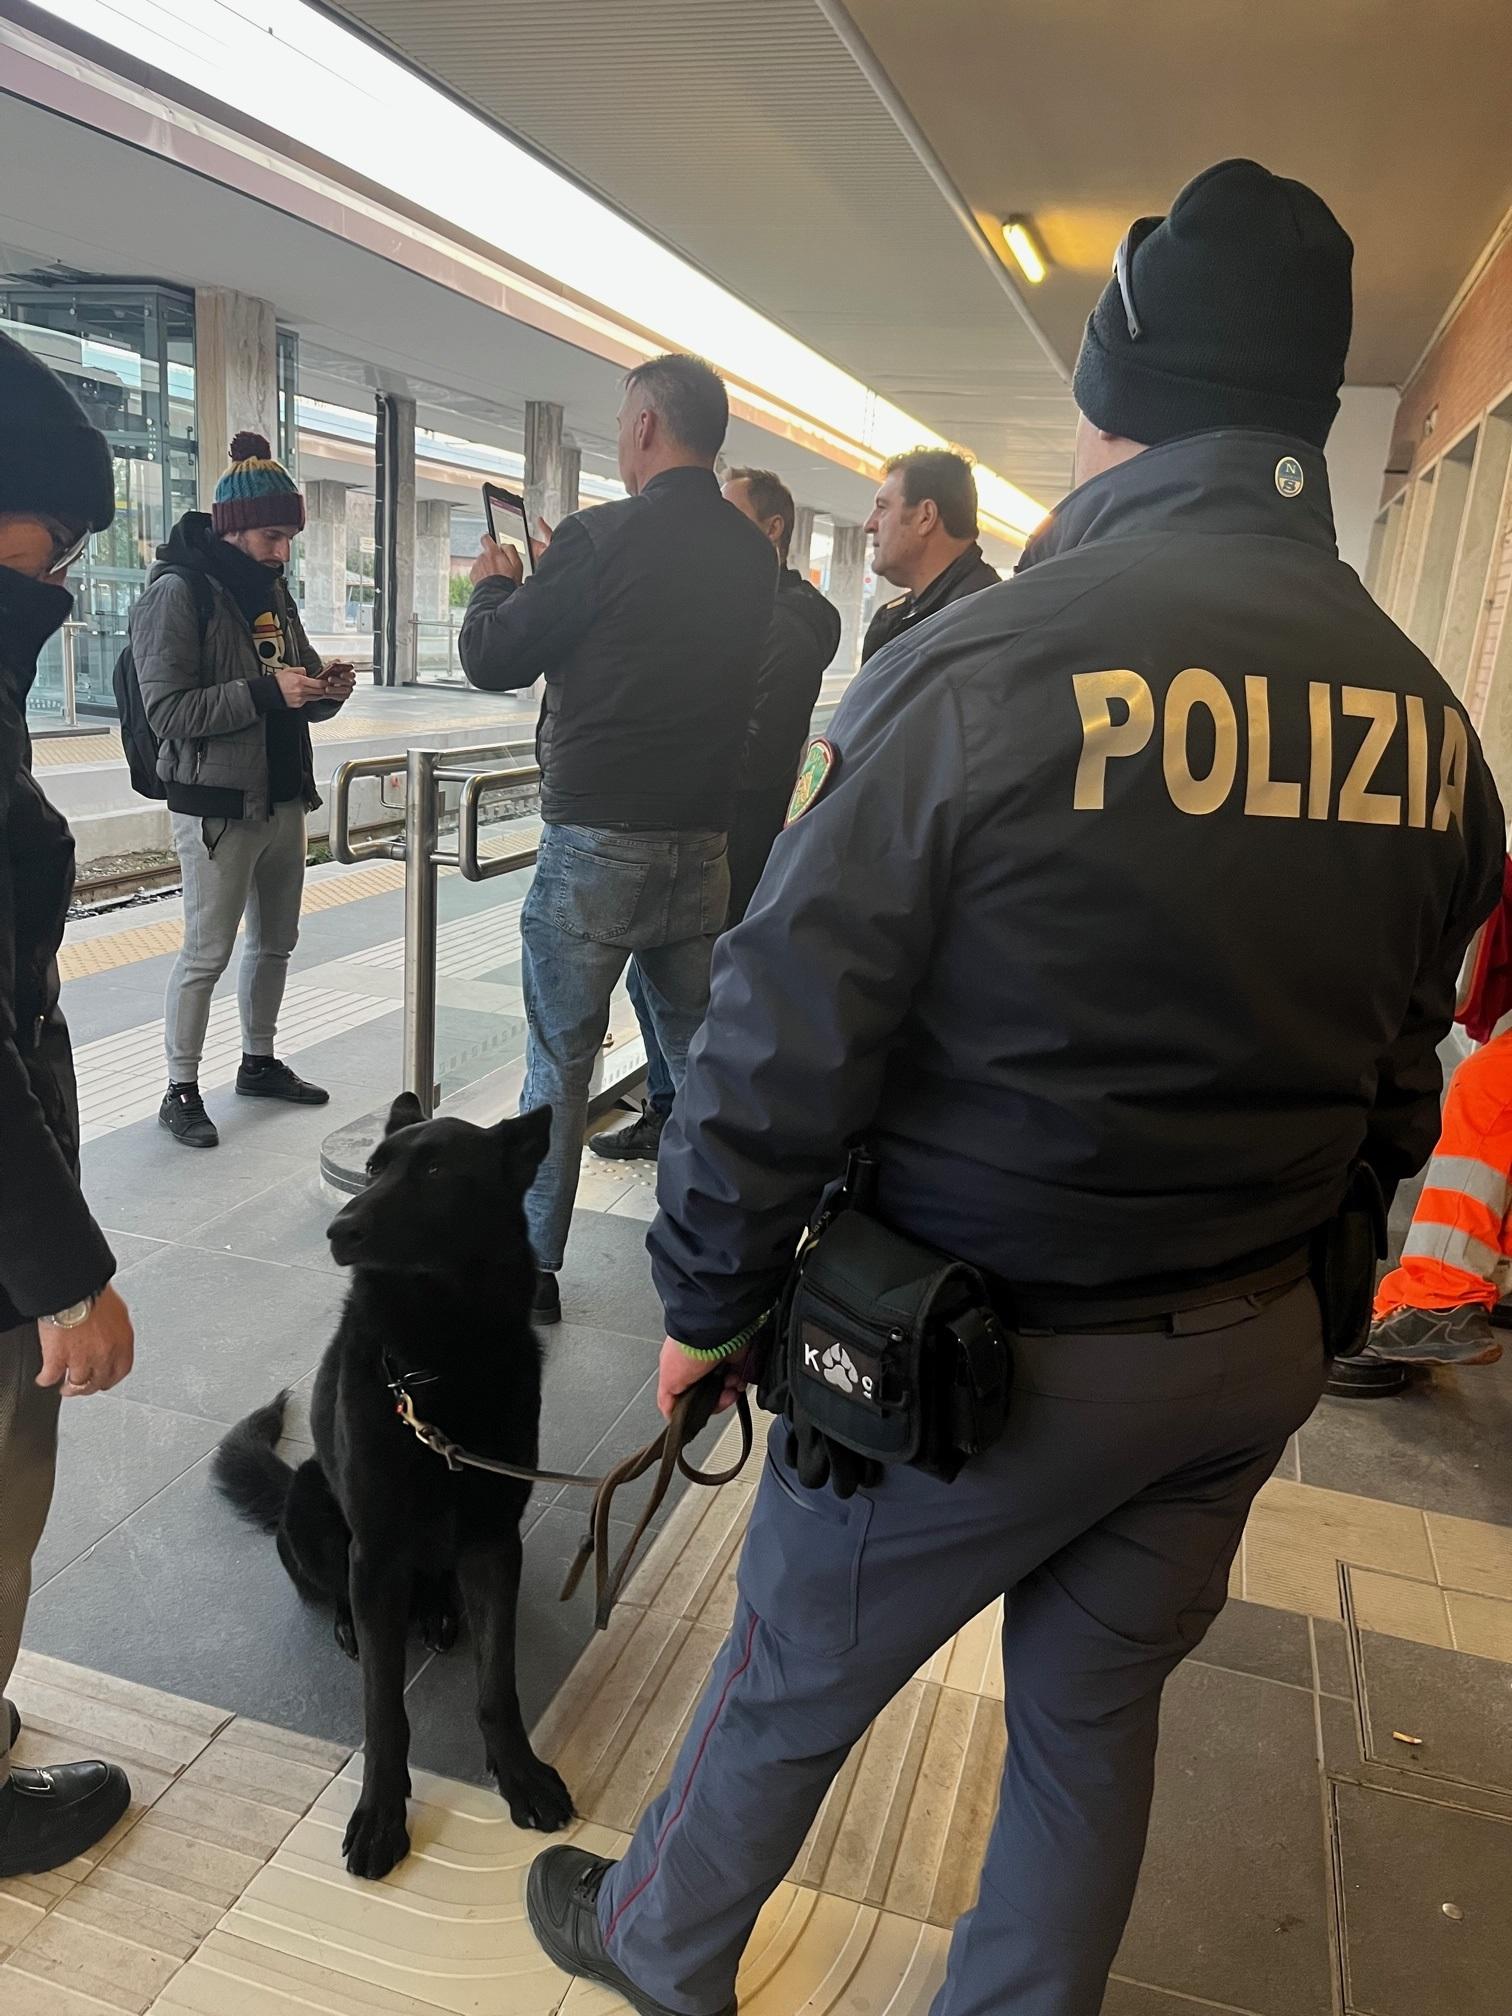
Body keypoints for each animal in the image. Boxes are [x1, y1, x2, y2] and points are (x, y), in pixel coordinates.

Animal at [218, 1096, 580, 1878]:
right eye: (374, 1167)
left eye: (437, 1171)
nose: (339, 1230)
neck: (441, 1359)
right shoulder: (378, 1554)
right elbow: (384, 1709)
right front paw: (382, 1812)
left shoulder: (493, 1542)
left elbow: (497, 1685)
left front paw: (520, 1773)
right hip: (315, 1507)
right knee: (333, 1588)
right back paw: (351, 1624)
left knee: (437, 1585)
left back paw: (441, 1612)